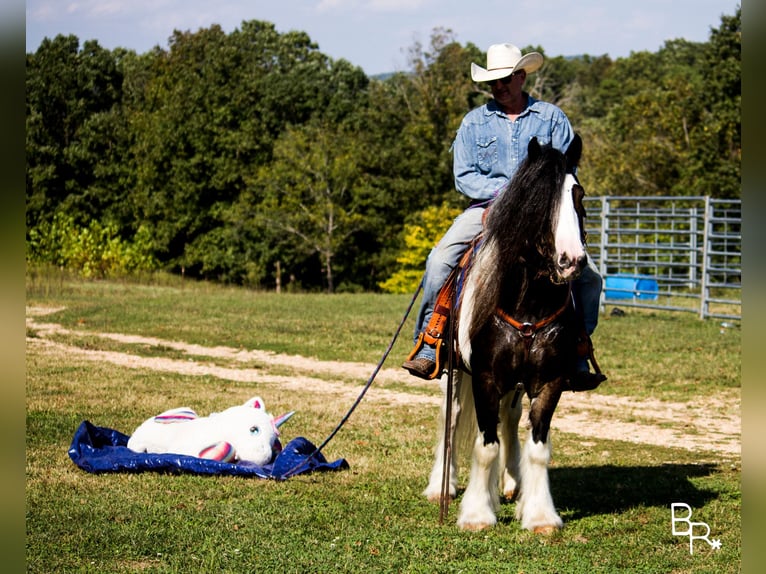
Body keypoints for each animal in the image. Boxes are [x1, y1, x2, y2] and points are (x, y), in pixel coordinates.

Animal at [424, 135, 592, 536]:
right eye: (538, 199)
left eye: (578, 195)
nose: (572, 260)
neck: (528, 303)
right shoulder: (485, 377)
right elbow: (485, 445)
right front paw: (476, 514)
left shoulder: (550, 381)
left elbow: (537, 446)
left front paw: (541, 515)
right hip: (455, 372)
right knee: (451, 419)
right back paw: (442, 485)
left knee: (510, 419)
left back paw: (513, 482)